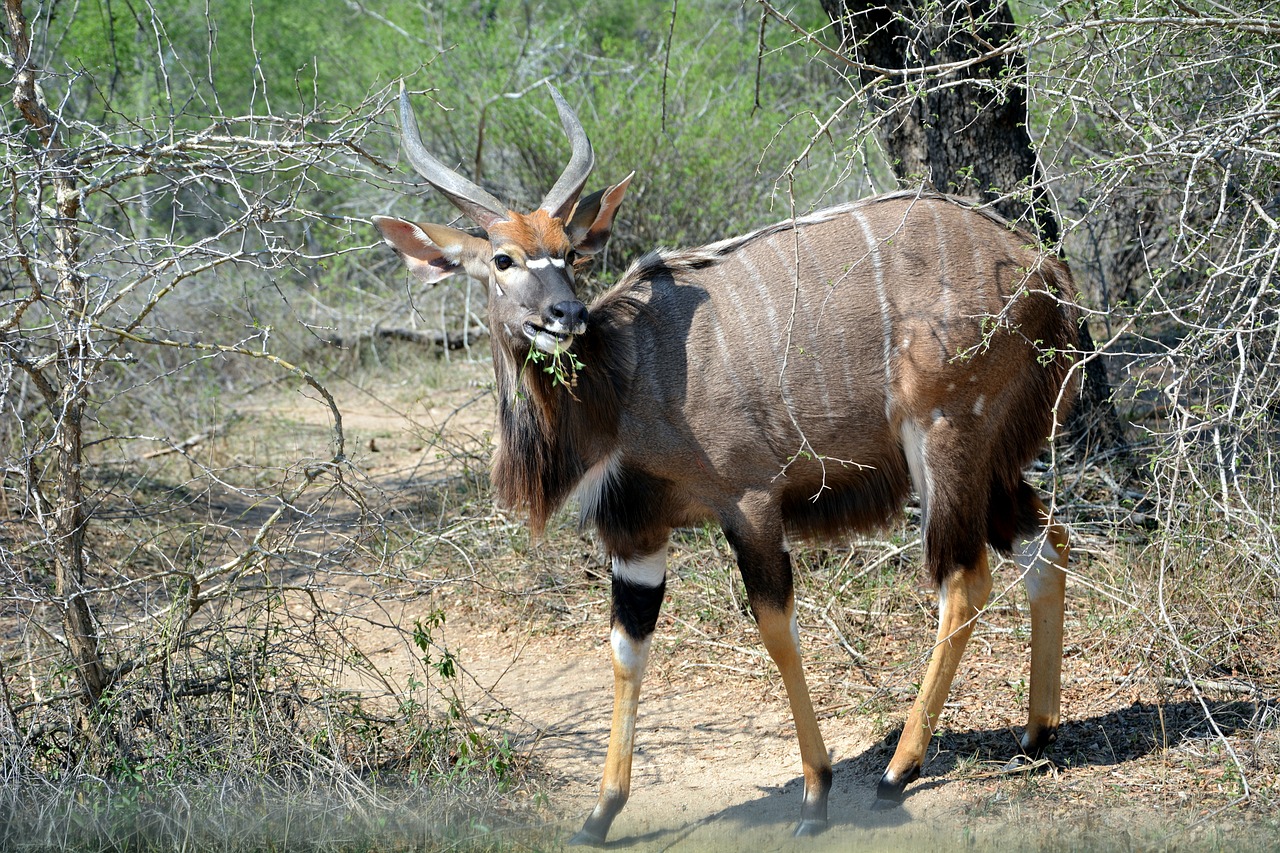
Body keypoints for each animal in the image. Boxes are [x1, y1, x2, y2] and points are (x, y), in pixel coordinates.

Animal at [373, 83, 1080, 840]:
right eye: (503, 259)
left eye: (566, 253)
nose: (565, 316)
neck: (625, 376)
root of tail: (1045, 269)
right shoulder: (636, 529)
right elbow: (627, 645)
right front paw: (600, 813)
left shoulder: (749, 501)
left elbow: (775, 627)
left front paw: (816, 794)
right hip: (991, 458)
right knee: (1046, 541)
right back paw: (1036, 735)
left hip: (947, 437)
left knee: (964, 579)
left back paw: (898, 771)